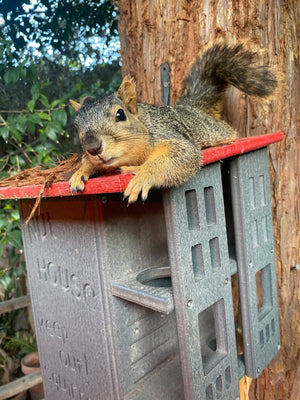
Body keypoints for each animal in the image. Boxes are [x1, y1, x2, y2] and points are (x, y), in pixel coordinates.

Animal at [68, 43, 276, 203]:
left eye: (120, 115)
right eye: (76, 127)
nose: (93, 147)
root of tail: (190, 107)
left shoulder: (166, 134)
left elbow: (183, 153)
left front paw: (143, 174)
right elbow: (88, 164)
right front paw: (80, 172)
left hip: (215, 131)